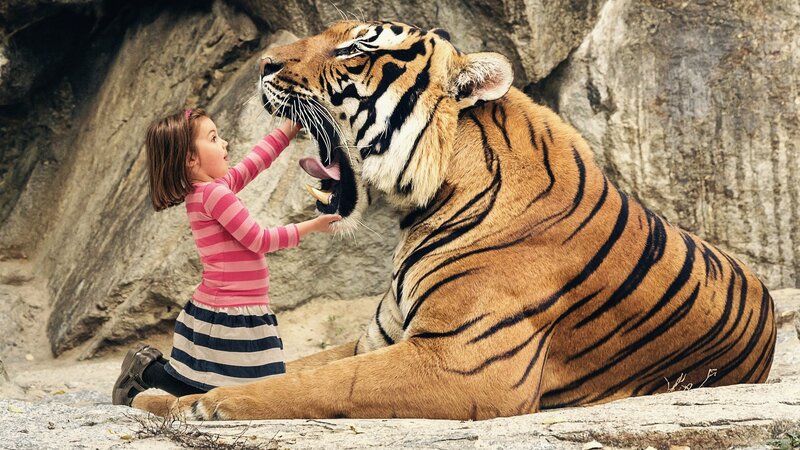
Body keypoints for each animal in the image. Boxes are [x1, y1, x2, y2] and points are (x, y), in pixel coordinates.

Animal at [133, 20, 777, 420]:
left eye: (354, 50)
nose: (265, 64)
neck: (425, 204)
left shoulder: (461, 361)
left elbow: (310, 381)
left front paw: (194, 404)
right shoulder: (379, 337)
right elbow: (291, 366)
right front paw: (157, 397)